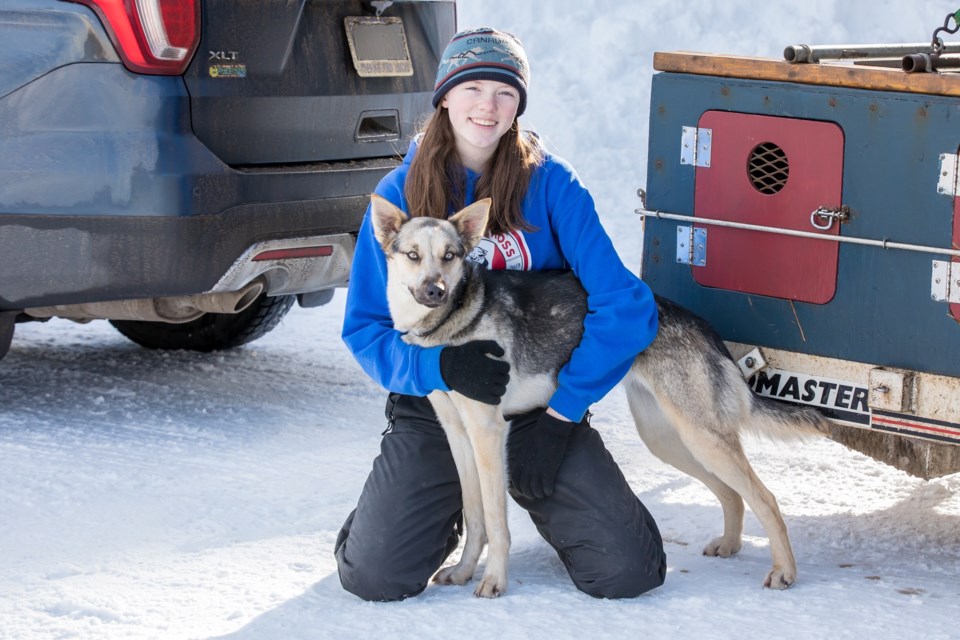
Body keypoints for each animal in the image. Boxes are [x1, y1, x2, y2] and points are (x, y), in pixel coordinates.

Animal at [368, 194, 824, 596]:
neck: (452, 326)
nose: (435, 291)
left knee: (765, 498)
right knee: (732, 494)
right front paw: (464, 571)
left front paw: (494, 581)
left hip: (701, 438)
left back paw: (784, 572)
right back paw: (730, 545)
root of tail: (703, 328)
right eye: (413, 255)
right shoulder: (459, 436)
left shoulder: (489, 434)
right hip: (669, 440)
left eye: (449, 256)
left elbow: (496, 524)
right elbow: (475, 517)